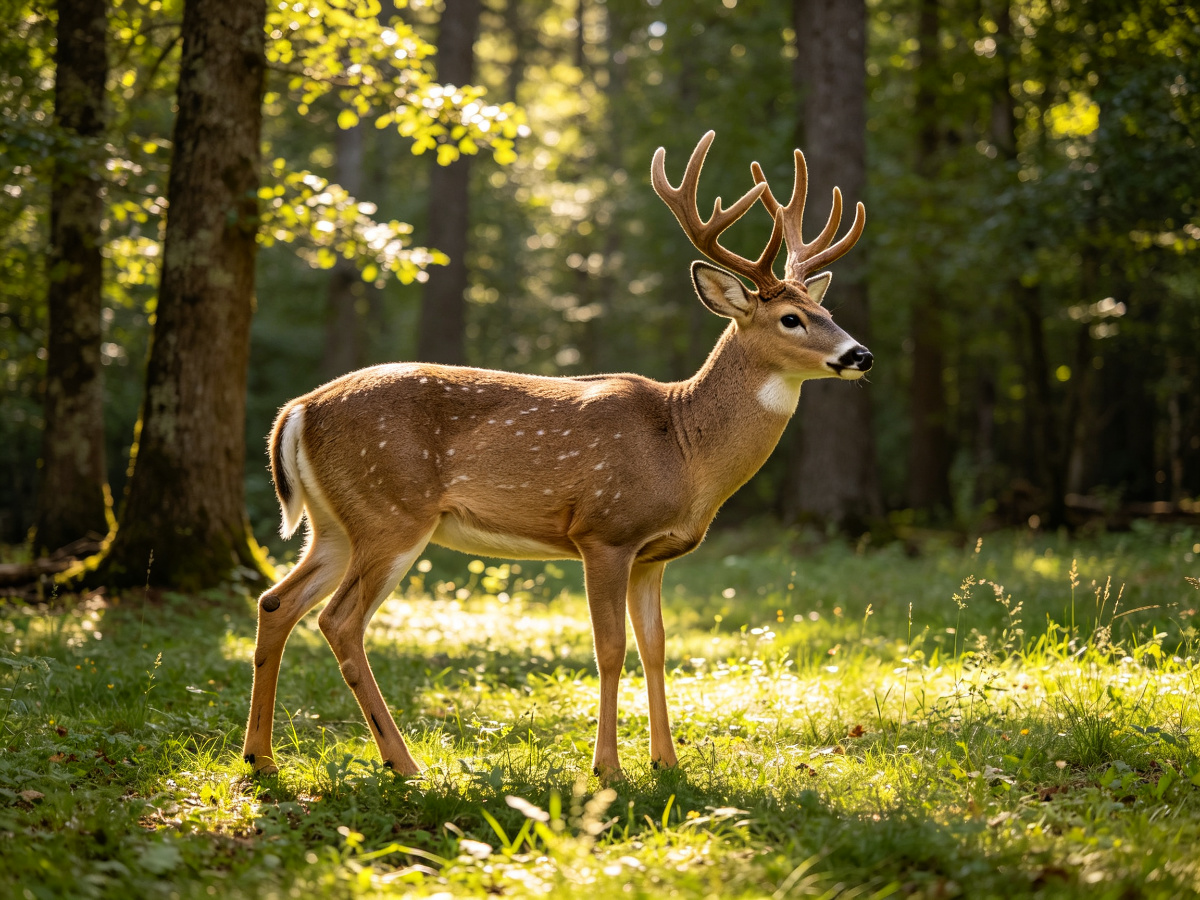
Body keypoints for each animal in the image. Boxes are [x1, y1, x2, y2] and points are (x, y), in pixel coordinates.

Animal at [242, 131, 872, 780]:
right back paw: (402, 762)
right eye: (791, 318)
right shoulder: (604, 531)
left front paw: (667, 763)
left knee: (276, 601)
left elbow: (657, 648)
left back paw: (261, 758)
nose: (860, 355)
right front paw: (608, 768)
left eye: (827, 312)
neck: (684, 449)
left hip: (336, 523)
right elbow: (610, 649)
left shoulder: (654, 555)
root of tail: (298, 409)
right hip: (389, 510)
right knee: (339, 620)